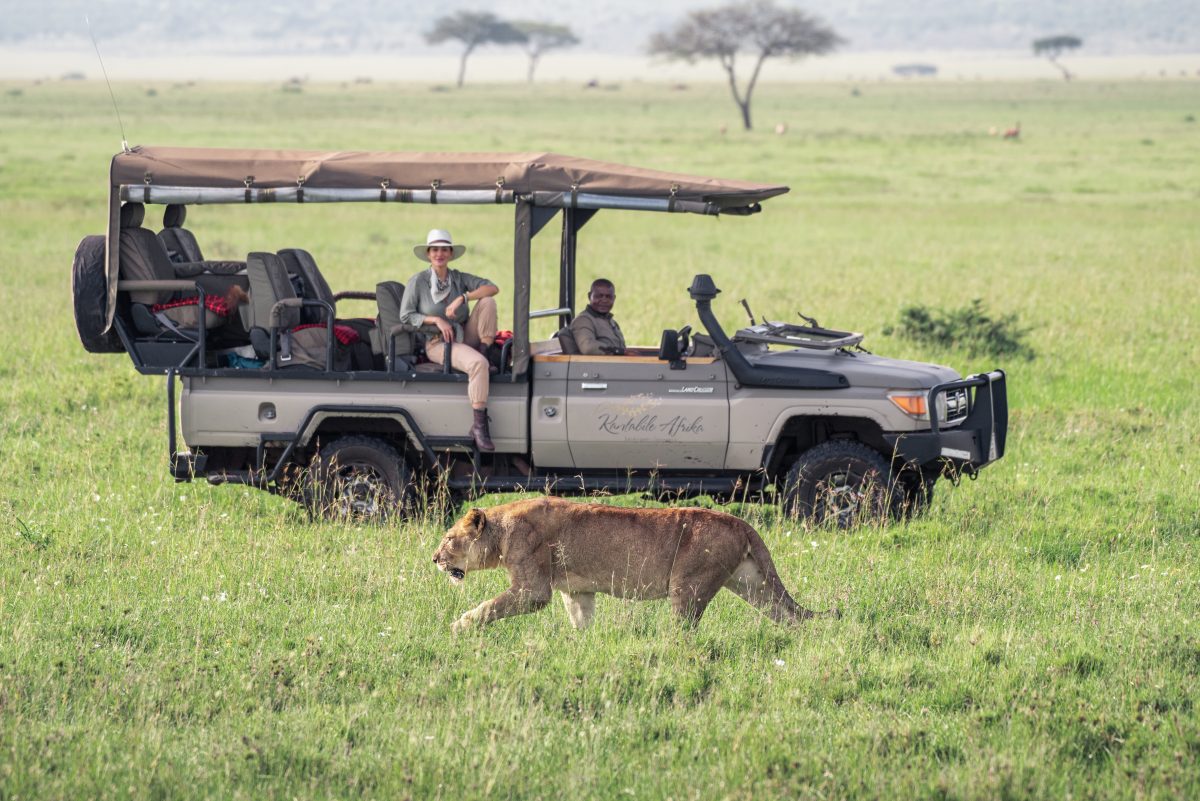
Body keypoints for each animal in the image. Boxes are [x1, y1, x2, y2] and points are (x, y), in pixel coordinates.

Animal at [432, 497, 818, 632]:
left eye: (448, 539)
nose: (434, 558)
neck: (500, 531)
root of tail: (741, 522)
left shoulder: (533, 590)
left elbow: (489, 607)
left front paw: (459, 626)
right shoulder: (577, 590)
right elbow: (581, 622)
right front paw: (581, 646)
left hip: (688, 586)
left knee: (683, 631)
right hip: (753, 583)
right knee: (789, 615)